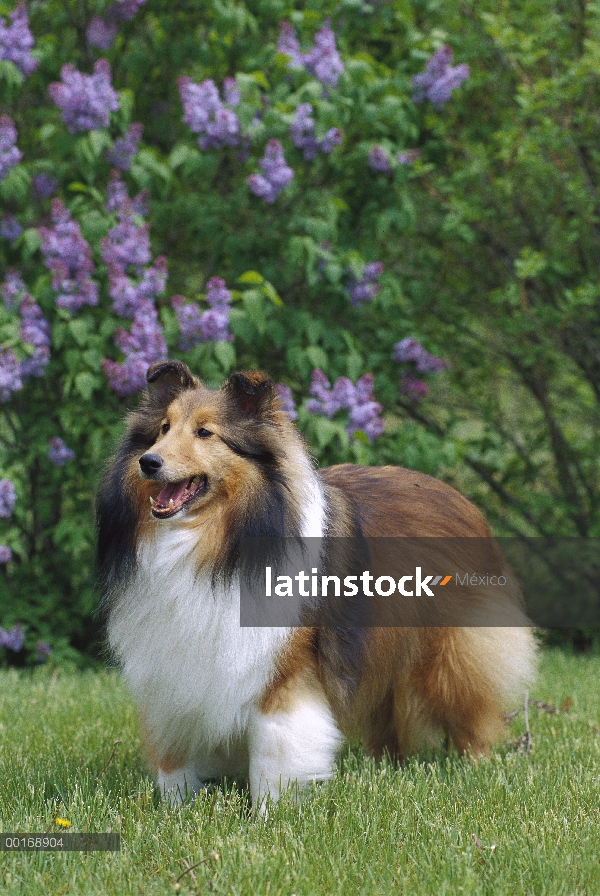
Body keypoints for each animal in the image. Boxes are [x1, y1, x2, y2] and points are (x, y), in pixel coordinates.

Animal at [97, 360, 536, 808]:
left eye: (205, 432)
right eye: (163, 429)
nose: (148, 462)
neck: (212, 544)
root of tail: (461, 498)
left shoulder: (282, 668)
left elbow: (273, 750)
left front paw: (267, 813)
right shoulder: (169, 669)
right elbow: (173, 753)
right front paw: (176, 808)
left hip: (450, 654)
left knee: (470, 712)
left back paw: (475, 768)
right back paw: (386, 766)